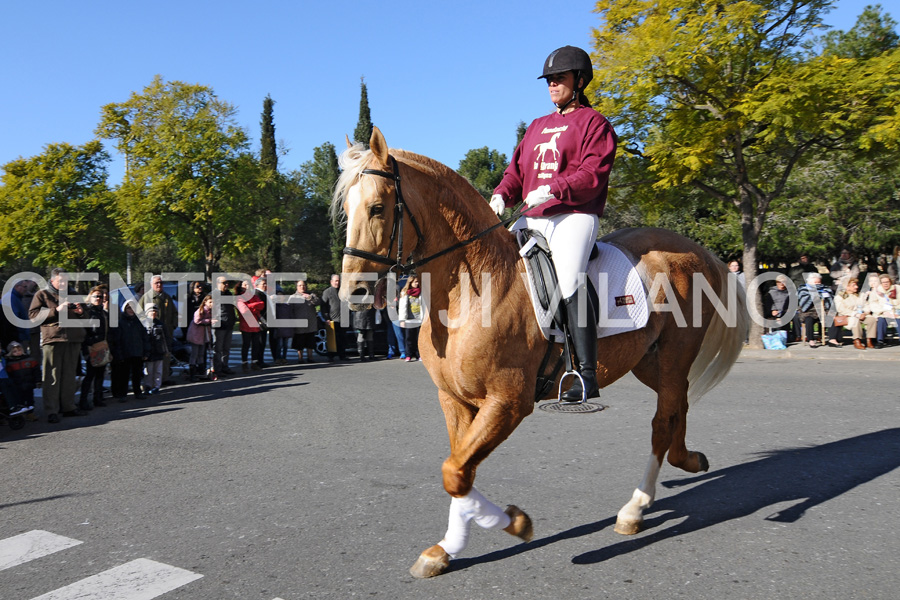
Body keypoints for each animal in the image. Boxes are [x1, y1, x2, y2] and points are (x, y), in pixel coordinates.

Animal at [334, 125, 748, 576]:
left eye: (377, 208)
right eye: (346, 211)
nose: (352, 293)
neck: (474, 290)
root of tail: (693, 249)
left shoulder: (508, 402)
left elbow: (455, 471)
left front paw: (514, 523)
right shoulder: (454, 400)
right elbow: (459, 470)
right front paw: (445, 549)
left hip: (673, 354)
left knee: (662, 419)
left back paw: (635, 508)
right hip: (647, 360)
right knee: (678, 405)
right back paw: (687, 461)